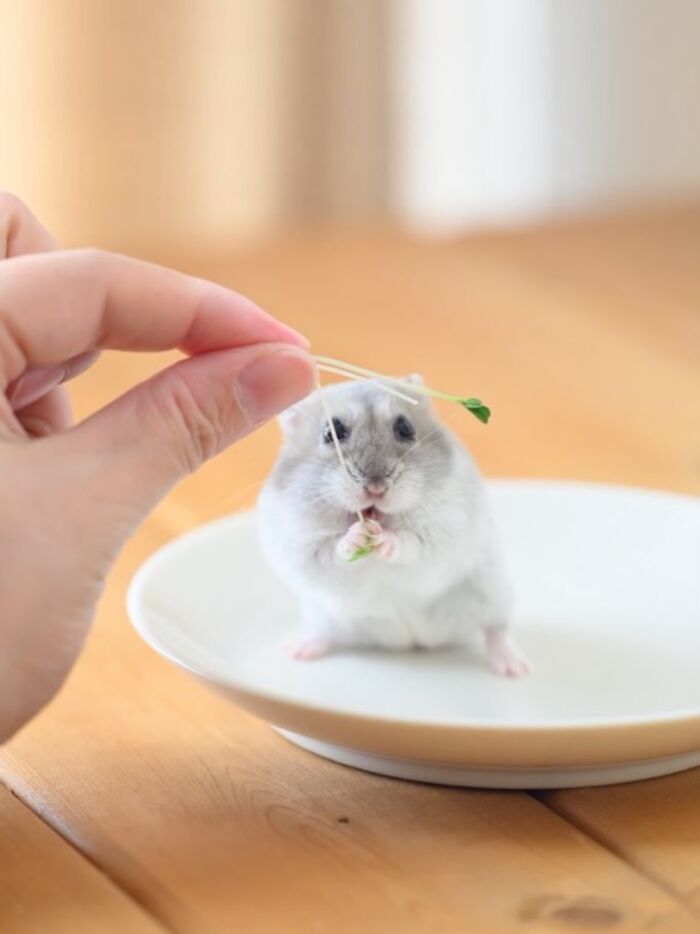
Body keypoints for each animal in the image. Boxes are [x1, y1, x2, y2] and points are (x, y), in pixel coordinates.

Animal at [256, 377, 530, 676]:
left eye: (405, 428)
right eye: (331, 432)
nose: (376, 488)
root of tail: (413, 642)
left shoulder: (445, 528)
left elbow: (412, 543)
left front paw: (382, 539)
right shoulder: (299, 543)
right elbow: (331, 551)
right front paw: (358, 536)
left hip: (492, 596)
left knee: (495, 630)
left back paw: (515, 668)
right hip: (324, 616)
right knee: (325, 634)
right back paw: (297, 651)